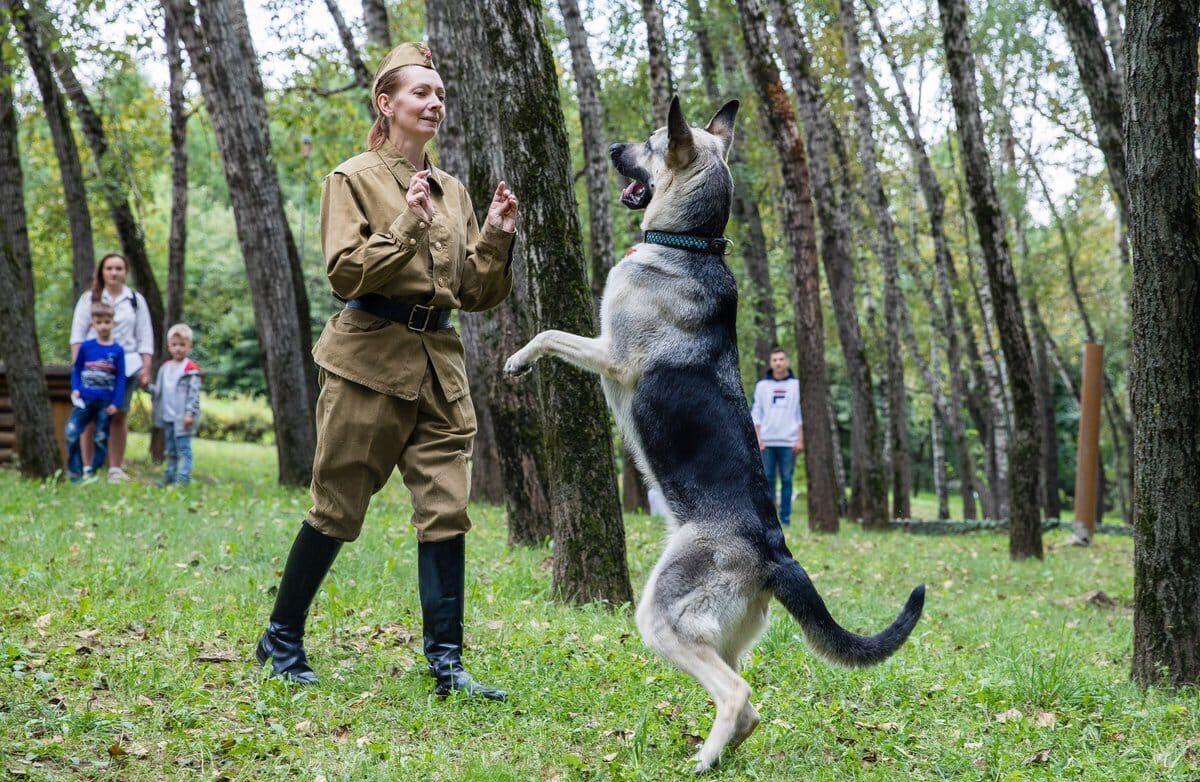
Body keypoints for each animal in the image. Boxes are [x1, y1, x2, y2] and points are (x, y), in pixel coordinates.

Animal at [501, 95, 921, 767]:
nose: (611, 148)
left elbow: (548, 333)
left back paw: (702, 759)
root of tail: (776, 554)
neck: (690, 245)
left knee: (738, 694)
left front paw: (517, 360)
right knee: (749, 706)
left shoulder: (610, 353)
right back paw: (718, 754)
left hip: (662, 615)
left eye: (649, 142)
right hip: (719, 634)